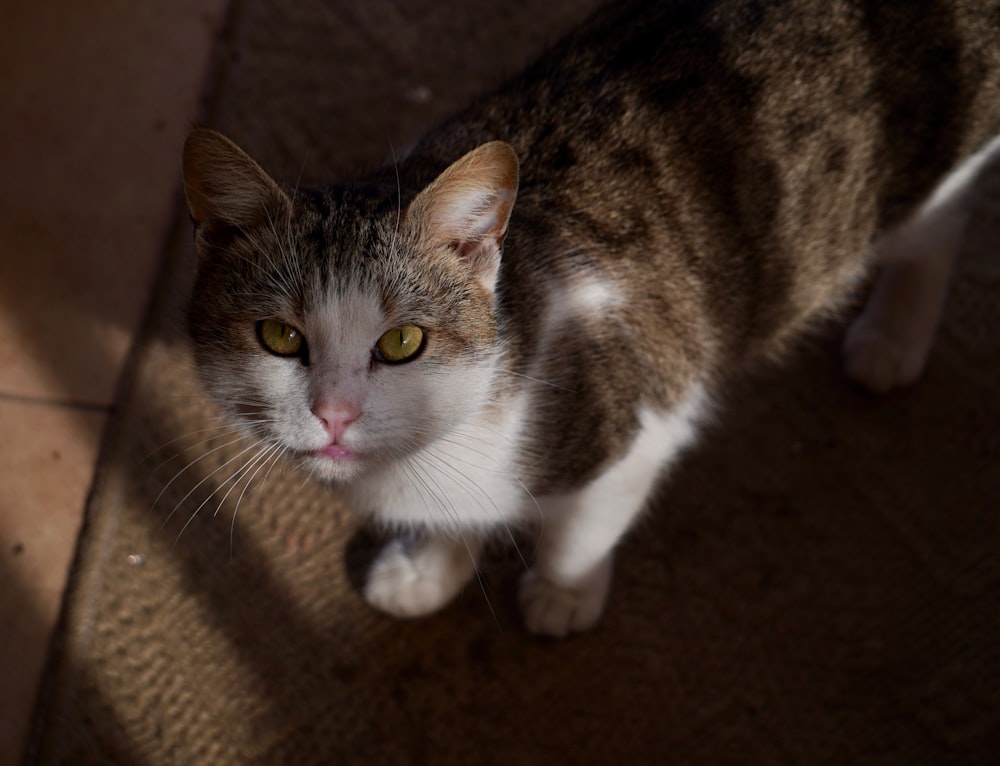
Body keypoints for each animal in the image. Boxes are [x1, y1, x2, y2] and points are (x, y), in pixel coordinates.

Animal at [184, 0, 1000, 640]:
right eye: (281, 337)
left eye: (402, 342)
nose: (334, 414)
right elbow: (460, 519)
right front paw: (429, 567)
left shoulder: (647, 415)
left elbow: (582, 527)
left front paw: (563, 592)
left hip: (923, 179)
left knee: (942, 227)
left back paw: (892, 339)